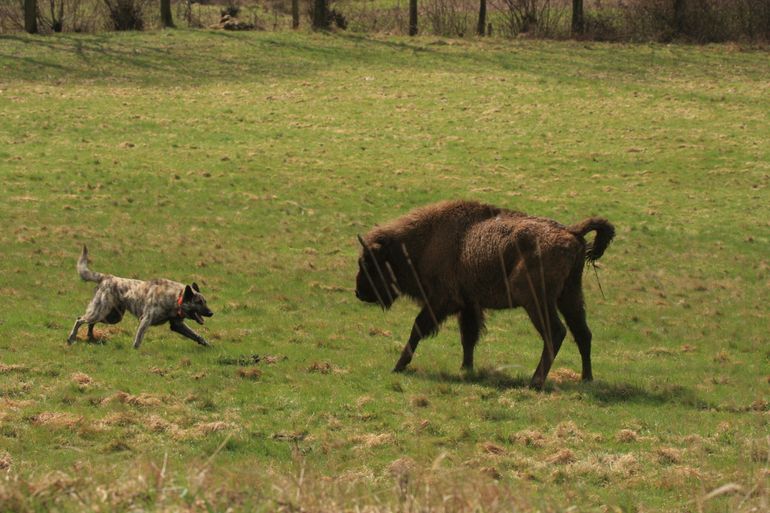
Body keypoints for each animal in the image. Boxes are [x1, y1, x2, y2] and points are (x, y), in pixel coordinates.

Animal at [67, 244, 213, 348]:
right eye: (199, 302)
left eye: (205, 301)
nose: (211, 313)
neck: (176, 297)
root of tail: (106, 277)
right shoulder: (146, 320)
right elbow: (138, 339)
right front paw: (136, 351)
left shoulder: (177, 325)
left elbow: (197, 335)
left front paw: (208, 345)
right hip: (101, 311)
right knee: (80, 319)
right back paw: (71, 338)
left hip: (111, 317)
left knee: (90, 323)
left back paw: (91, 338)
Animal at [354, 200, 612, 388]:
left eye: (370, 263)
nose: (359, 292)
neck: (426, 241)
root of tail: (571, 231)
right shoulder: (469, 304)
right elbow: (468, 337)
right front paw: (466, 368)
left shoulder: (441, 301)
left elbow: (418, 327)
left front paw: (398, 366)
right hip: (570, 296)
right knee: (583, 333)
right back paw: (586, 379)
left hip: (536, 300)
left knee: (556, 333)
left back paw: (535, 381)